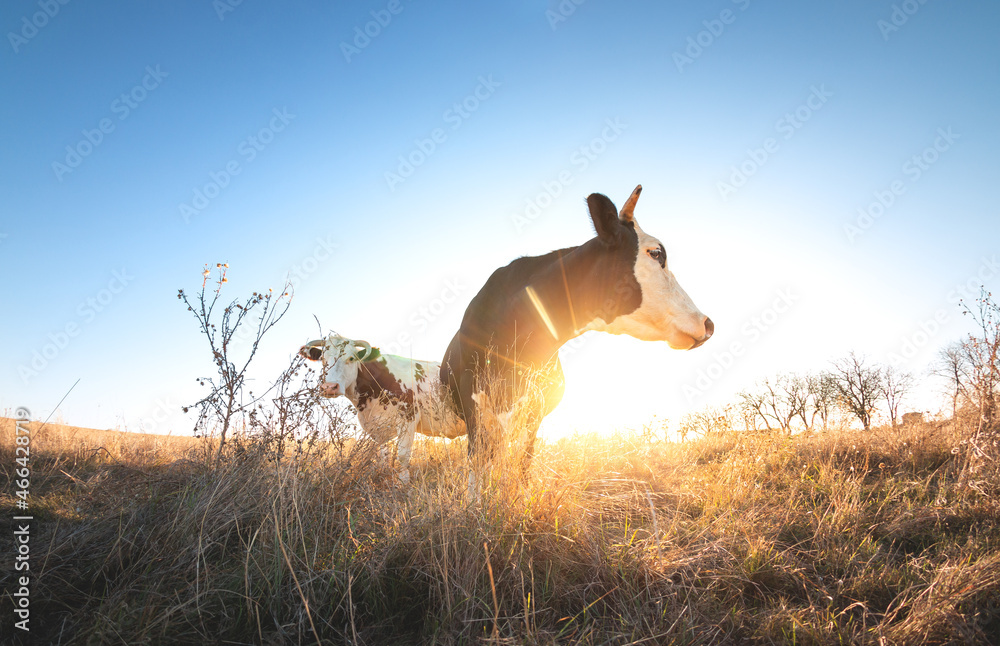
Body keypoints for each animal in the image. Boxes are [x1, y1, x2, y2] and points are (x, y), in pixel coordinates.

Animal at [298, 336, 466, 484]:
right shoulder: (378, 428)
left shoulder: (408, 419)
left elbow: (403, 456)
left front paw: (403, 485)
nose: (329, 387)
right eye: (323, 359)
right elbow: (383, 456)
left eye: (351, 359)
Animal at [444, 186, 712, 476]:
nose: (708, 324)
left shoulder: (534, 410)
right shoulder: (474, 402)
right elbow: (478, 466)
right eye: (656, 253)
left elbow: (522, 464)